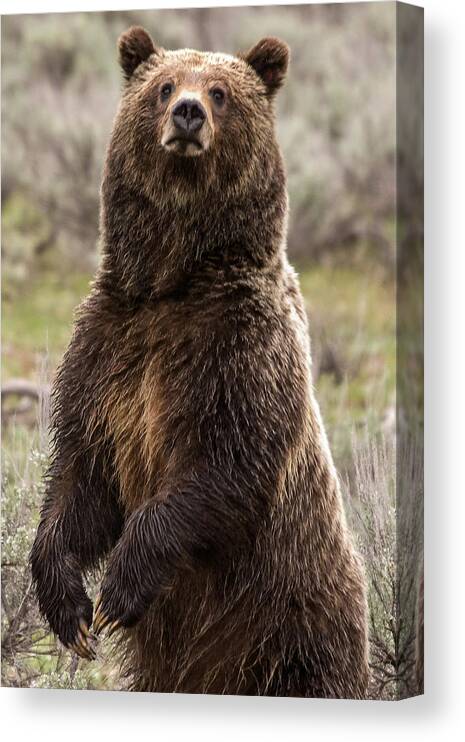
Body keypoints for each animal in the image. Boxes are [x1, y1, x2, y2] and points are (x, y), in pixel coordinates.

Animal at [30, 26, 368, 700]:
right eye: (164, 86)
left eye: (219, 91)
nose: (187, 113)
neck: (174, 280)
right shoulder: (108, 347)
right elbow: (83, 474)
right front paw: (72, 610)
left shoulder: (237, 350)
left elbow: (225, 465)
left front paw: (118, 592)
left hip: (293, 628)